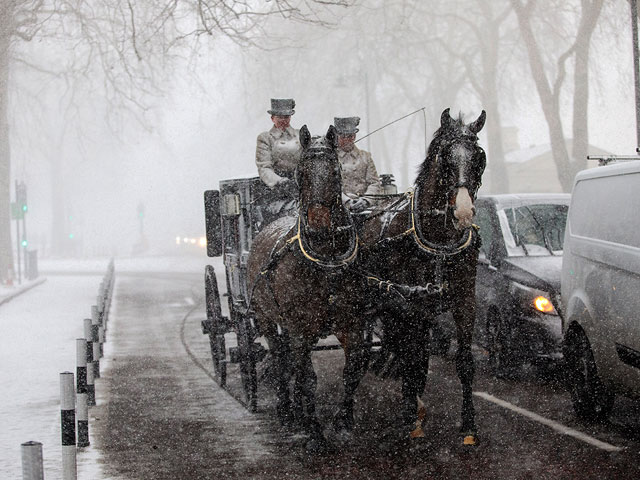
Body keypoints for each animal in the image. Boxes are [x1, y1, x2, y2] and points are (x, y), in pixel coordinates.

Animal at [246, 125, 370, 452]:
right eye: (301, 172)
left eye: (336, 171)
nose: (318, 226)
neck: (326, 261)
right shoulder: (300, 327)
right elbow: (308, 378)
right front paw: (314, 431)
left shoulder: (351, 323)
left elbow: (351, 370)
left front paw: (343, 423)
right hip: (265, 317)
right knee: (281, 358)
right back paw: (288, 412)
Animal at [358, 109, 488, 446]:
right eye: (444, 157)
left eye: (479, 157)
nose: (464, 212)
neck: (439, 241)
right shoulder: (411, 302)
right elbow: (412, 355)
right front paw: (412, 414)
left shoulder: (464, 300)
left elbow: (464, 362)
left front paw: (469, 425)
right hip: (392, 300)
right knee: (405, 347)